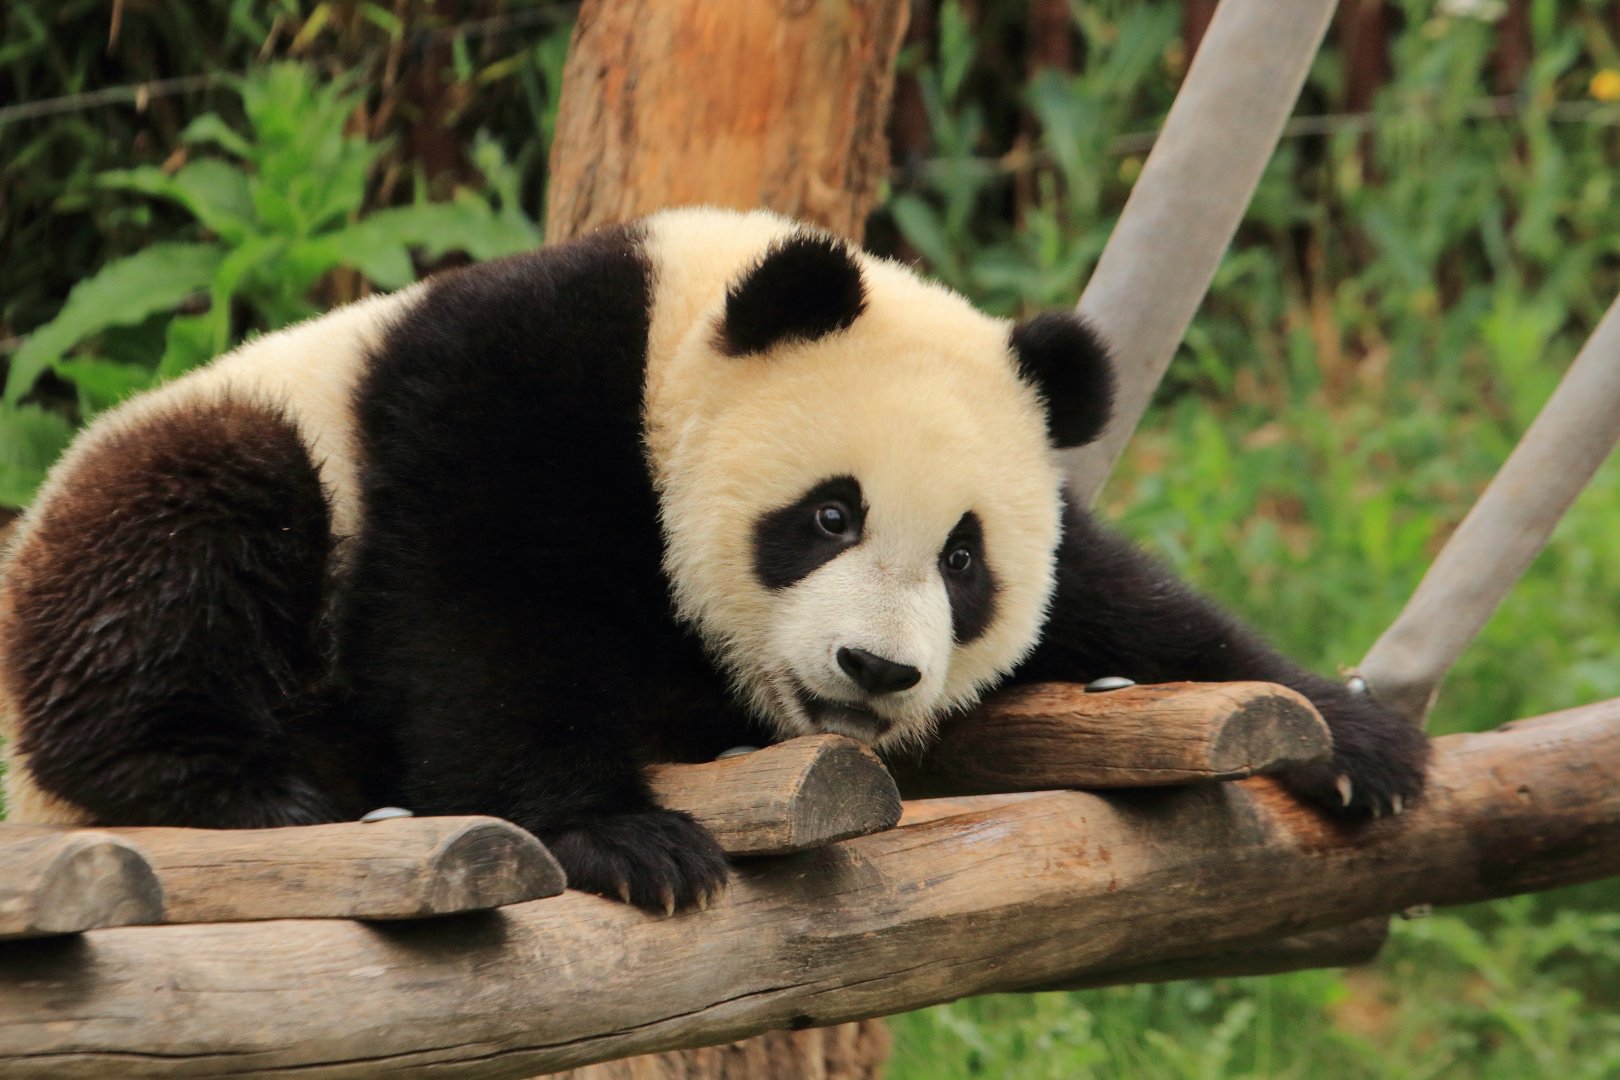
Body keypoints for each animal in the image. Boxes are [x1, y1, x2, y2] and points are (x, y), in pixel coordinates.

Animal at [0, 207, 1429, 913]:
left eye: (964, 562)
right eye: (830, 516)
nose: (875, 670)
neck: (673, 328)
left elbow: (1123, 609)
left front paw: (1356, 739)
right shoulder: (505, 394)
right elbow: (483, 614)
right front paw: (626, 839)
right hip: (192, 473)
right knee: (186, 530)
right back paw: (249, 785)